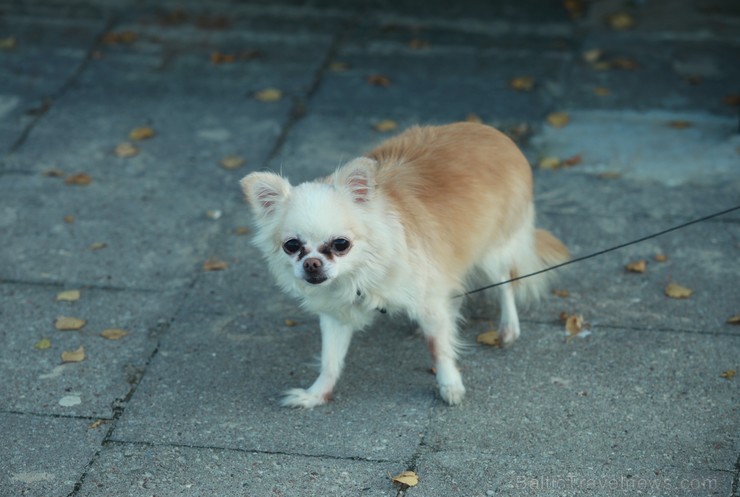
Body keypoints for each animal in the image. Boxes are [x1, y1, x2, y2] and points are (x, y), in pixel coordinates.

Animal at [240, 121, 568, 406]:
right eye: (292, 246)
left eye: (341, 244)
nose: (311, 264)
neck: (359, 274)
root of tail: (495, 134)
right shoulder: (338, 314)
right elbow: (330, 359)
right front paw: (316, 394)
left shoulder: (429, 297)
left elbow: (438, 348)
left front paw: (449, 385)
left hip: (493, 251)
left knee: (506, 283)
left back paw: (508, 327)